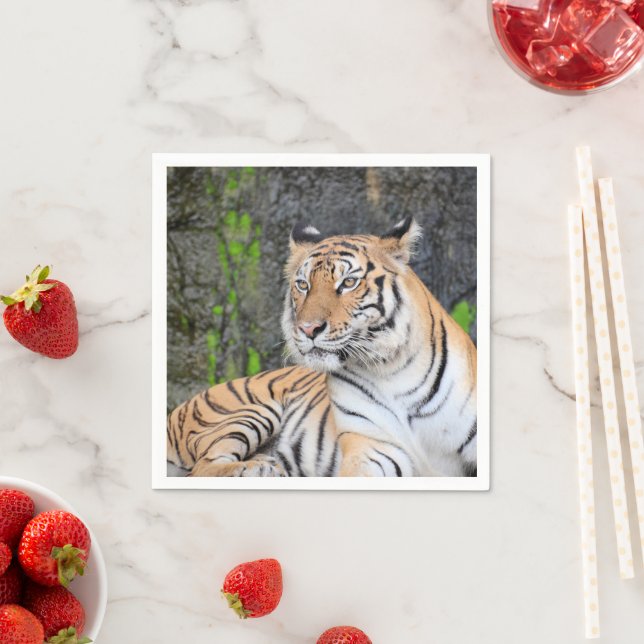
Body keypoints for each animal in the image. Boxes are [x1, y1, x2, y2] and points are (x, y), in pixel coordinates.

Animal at [167, 217, 478, 477]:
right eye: (303, 285)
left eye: (349, 282)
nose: (308, 329)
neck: (392, 370)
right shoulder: (372, 448)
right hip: (249, 411)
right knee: (202, 468)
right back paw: (261, 468)